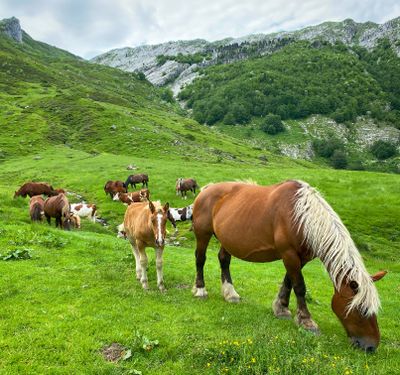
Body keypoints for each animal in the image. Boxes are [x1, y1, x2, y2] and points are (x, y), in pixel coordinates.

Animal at [194, 181, 388, 352]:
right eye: (362, 309)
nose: (371, 346)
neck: (301, 216)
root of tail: (207, 189)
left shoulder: (300, 258)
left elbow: (288, 282)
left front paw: (281, 308)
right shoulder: (289, 254)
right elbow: (299, 286)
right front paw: (307, 321)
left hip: (226, 240)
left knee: (224, 260)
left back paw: (230, 294)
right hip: (203, 234)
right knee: (200, 259)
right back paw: (200, 290)